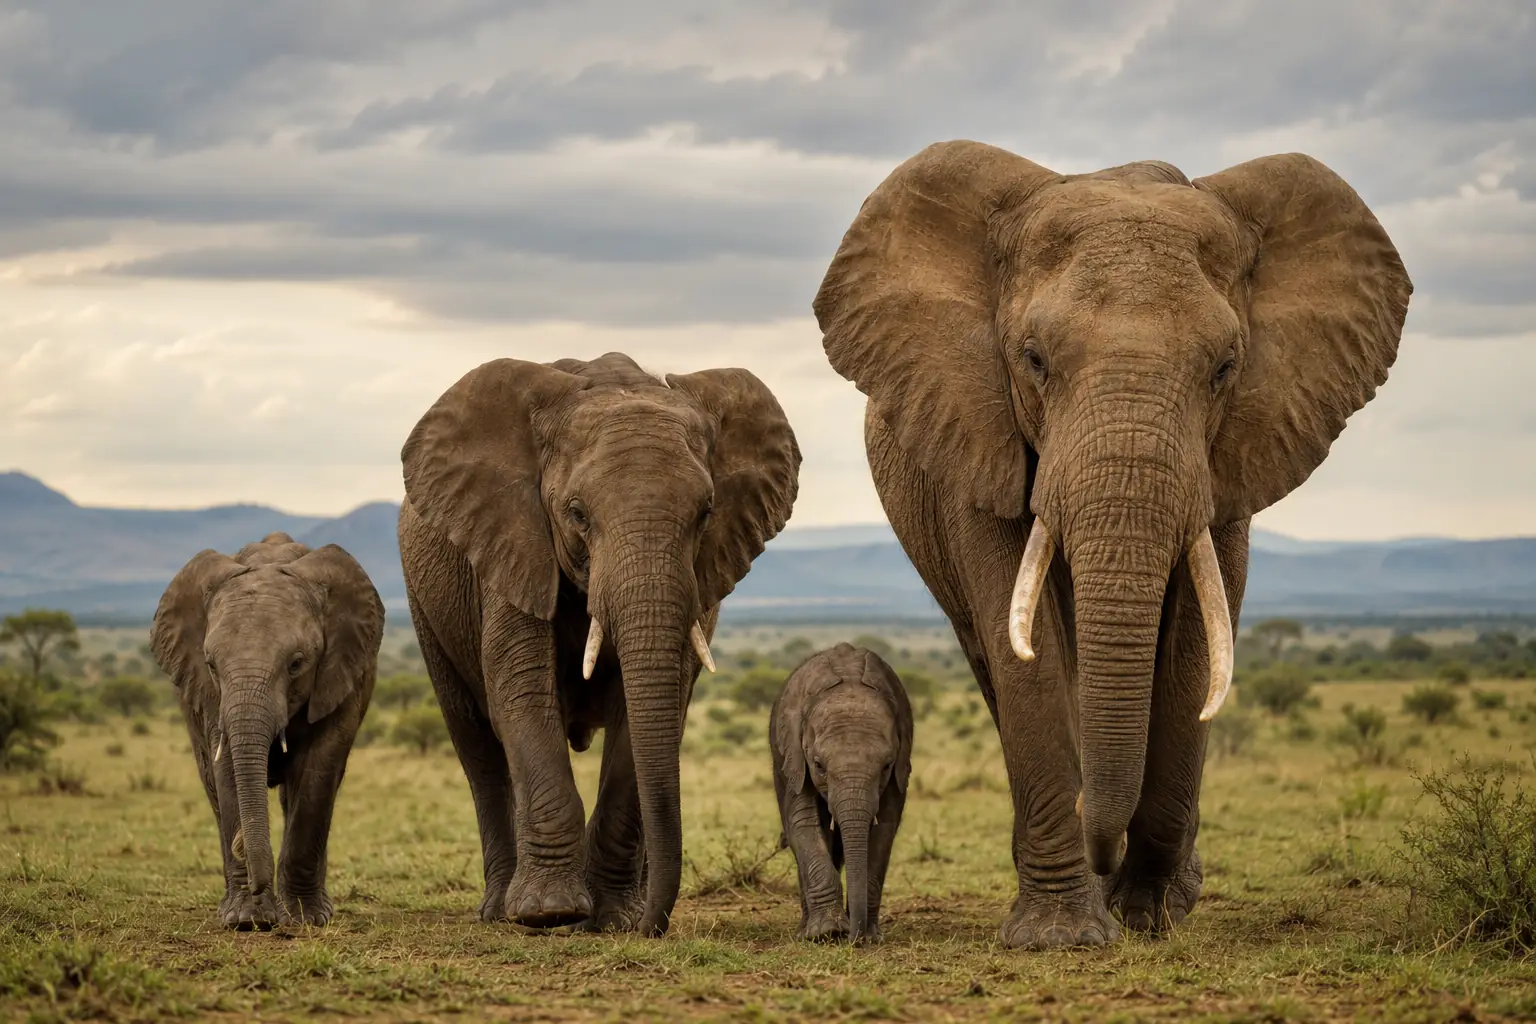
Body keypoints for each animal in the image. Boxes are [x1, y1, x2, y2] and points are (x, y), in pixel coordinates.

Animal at [150, 532, 384, 930]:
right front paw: (247, 920)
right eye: (211, 665)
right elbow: (226, 767)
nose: (242, 845)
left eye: (296, 664)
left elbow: (319, 771)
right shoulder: (211, 698)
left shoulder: (343, 676)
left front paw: (305, 919)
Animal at [397, 351, 800, 936]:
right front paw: (550, 913)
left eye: (706, 513)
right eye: (577, 513)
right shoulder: (512, 543)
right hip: (427, 606)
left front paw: (613, 918)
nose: (651, 925)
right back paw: (499, 911)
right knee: (476, 744)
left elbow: (648, 712)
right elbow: (522, 693)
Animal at [770, 642, 912, 944]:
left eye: (886, 766)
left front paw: (869, 935)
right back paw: (807, 930)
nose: (854, 939)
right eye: (819, 766)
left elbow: (885, 829)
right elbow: (802, 823)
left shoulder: (900, 765)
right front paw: (828, 932)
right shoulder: (795, 756)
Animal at [813, 142, 1411, 949]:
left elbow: (1192, 643)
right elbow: (1027, 652)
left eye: (1225, 367)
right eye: (1033, 359)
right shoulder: (977, 433)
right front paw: (1062, 935)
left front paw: (1151, 912)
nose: (1102, 851)